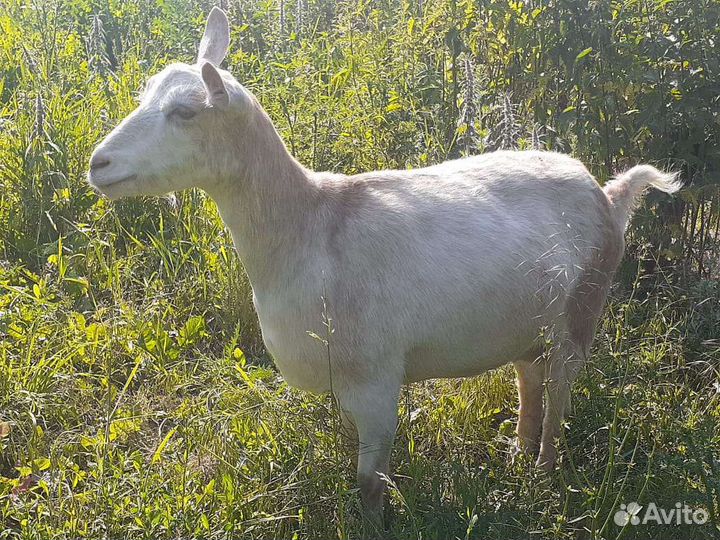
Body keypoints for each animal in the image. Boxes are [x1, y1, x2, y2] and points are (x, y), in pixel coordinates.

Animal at [87, 7, 680, 522]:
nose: (99, 164)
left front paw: (374, 519)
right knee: (529, 379)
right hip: (529, 321)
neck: (310, 226)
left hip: (581, 311)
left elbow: (369, 482)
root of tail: (609, 195)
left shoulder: (375, 381)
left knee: (559, 390)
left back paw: (544, 471)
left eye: (185, 112)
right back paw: (518, 452)